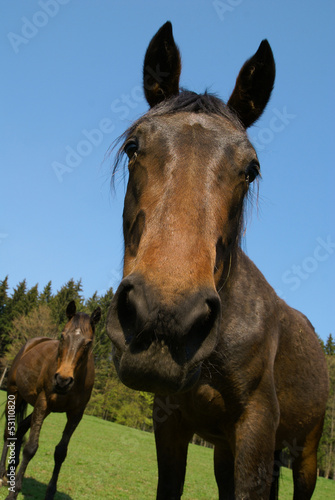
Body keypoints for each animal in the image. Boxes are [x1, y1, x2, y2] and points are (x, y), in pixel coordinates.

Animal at [0, 298, 100, 498]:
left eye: (88, 343)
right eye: (62, 336)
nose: (62, 380)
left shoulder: (75, 414)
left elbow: (60, 452)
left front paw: (50, 493)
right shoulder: (43, 402)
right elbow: (31, 448)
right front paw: (13, 494)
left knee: (20, 429)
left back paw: (10, 473)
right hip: (14, 394)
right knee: (9, 433)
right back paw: (1, 475)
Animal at [107, 22, 328, 500]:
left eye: (251, 169)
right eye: (133, 147)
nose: (164, 319)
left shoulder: (255, 429)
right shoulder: (173, 424)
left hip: (305, 450)